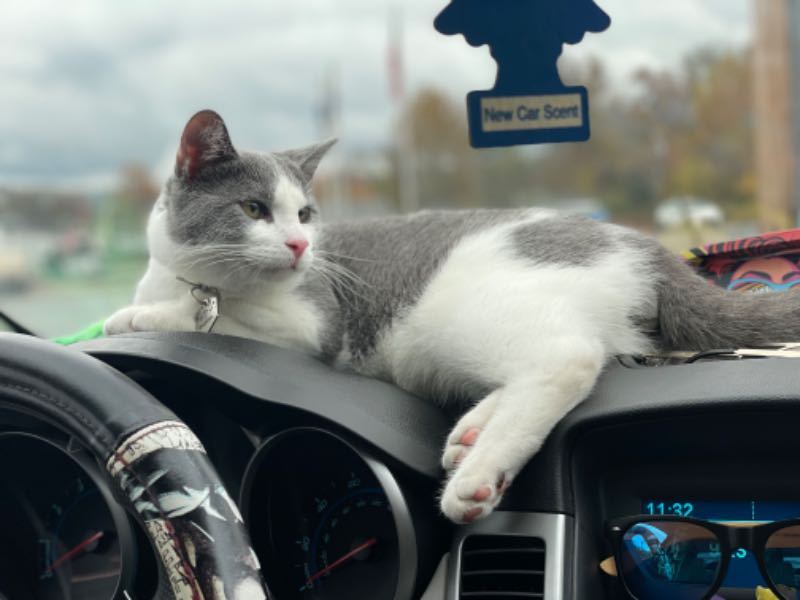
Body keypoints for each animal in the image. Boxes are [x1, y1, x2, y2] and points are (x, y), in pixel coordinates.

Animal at [105, 110, 800, 523]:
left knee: (566, 361)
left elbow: (215, 320)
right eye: (253, 209)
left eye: (302, 214)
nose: (301, 245)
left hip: (457, 315)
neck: (200, 280)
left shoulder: (313, 323)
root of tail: (642, 245)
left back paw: (479, 478)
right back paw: (470, 437)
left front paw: (135, 318)